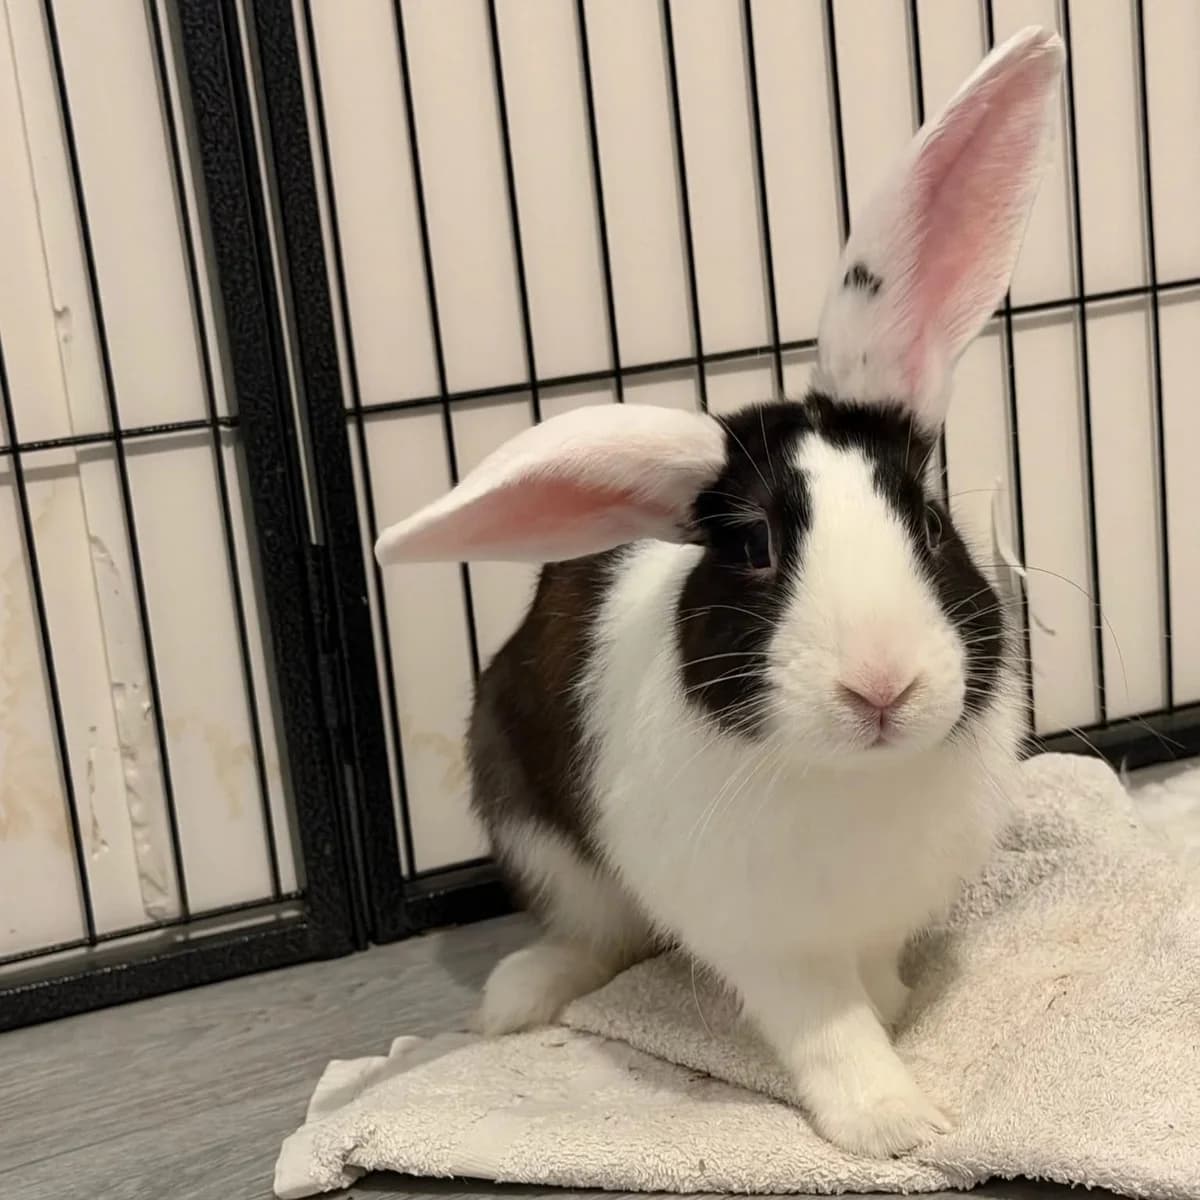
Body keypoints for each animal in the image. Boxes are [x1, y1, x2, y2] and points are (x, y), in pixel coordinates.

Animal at [376, 27, 1064, 1160]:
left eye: (927, 521)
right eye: (750, 549)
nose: (882, 688)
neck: (850, 776)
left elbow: (873, 982)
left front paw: (901, 1016)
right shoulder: (767, 941)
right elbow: (827, 1026)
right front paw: (898, 1122)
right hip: (534, 827)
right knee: (597, 934)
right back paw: (514, 1000)